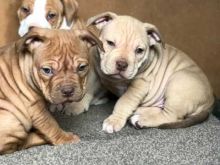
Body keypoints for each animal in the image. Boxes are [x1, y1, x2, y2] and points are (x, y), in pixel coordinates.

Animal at [0, 27, 102, 155]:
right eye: (47, 70)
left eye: (82, 67)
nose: (68, 90)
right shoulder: (36, 107)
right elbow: (50, 125)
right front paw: (65, 138)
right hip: (12, 121)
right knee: (18, 145)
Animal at [87, 11, 215, 133]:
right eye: (110, 43)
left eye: (139, 50)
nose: (122, 65)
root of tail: (210, 102)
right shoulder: (96, 71)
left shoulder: (139, 84)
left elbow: (125, 101)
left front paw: (114, 120)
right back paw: (139, 111)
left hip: (178, 82)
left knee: (170, 116)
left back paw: (140, 120)